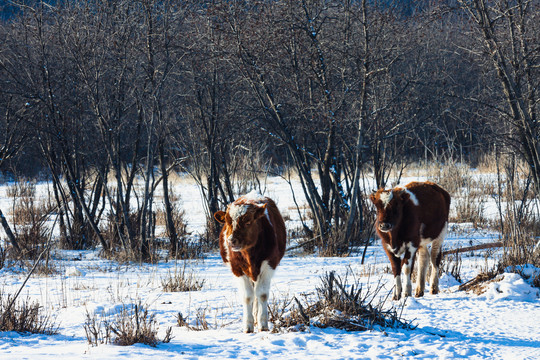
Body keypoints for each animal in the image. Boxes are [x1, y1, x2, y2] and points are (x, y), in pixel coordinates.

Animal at [214, 190, 286, 334]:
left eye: (248, 222)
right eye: (228, 222)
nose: (231, 241)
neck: (249, 254)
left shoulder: (269, 265)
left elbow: (262, 295)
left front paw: (263, 324)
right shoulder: (237, 269)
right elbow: (247, 296)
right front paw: (248, 326)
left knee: (257, 295)